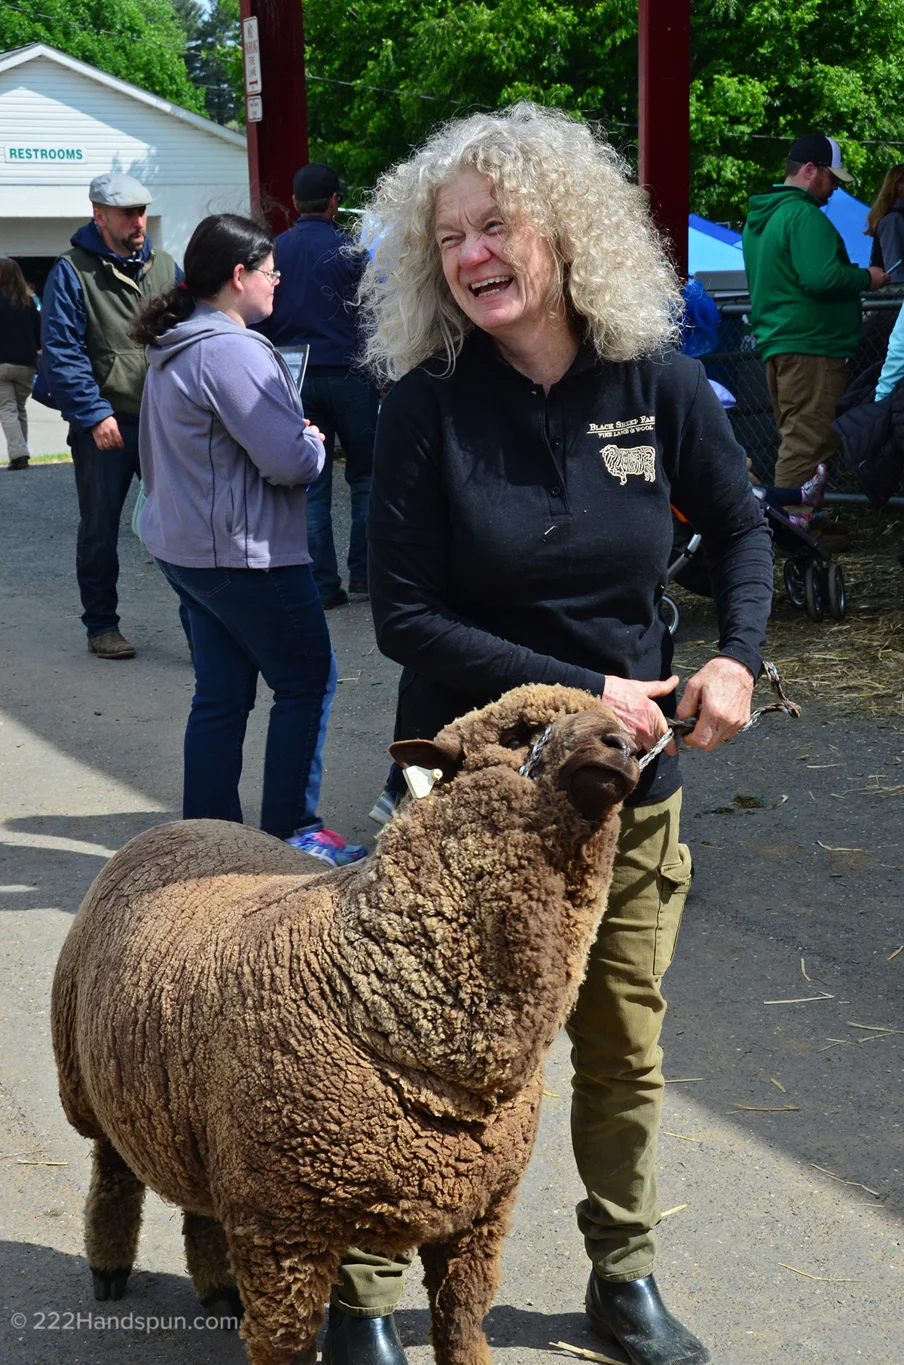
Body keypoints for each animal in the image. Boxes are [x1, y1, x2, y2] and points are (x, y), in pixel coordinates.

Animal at [51, 682, 639, 1365]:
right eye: (517, 733)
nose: (624, 744)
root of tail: (179, 823)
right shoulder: (283, 1225)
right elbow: (286, 1345)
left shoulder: (481, 1213)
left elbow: (463, 1323)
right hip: (92, 1085)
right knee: (113, 1172)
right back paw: (109, 1271)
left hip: (194, 1118)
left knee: (198, 1203)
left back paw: (218, 1291)